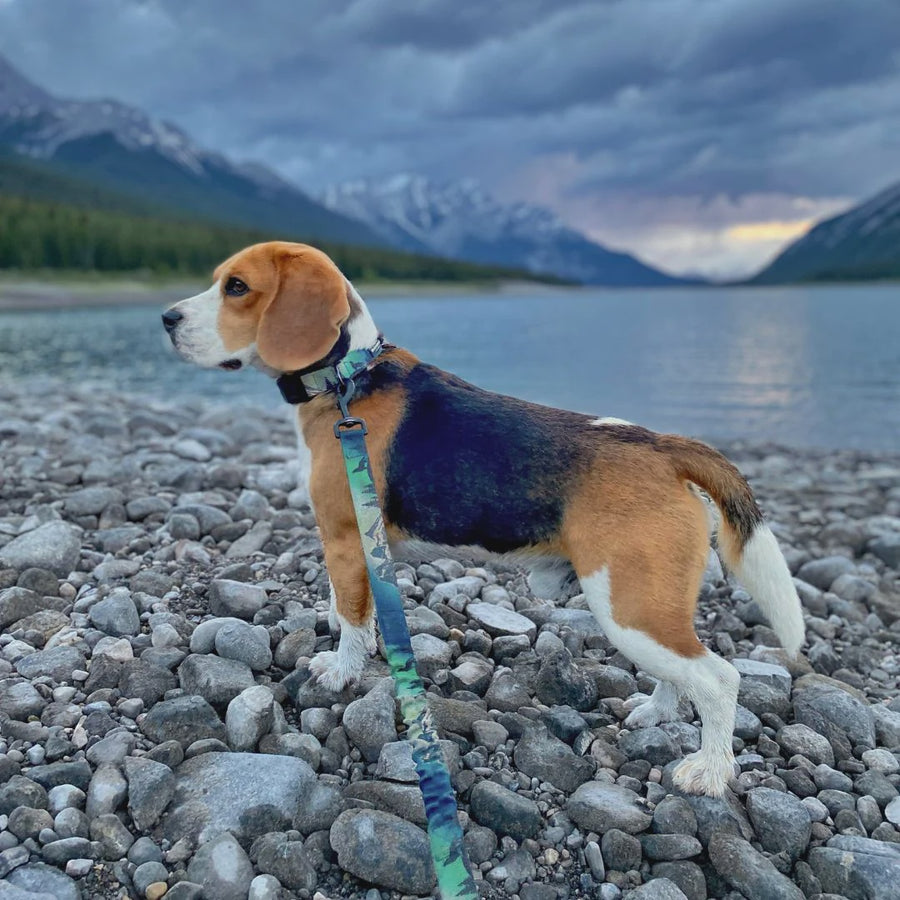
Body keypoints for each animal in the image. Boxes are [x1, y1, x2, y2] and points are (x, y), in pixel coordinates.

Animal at [165, 239, 804, 796]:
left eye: (237, 286)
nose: (167, 318)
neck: (347, 378)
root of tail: (662, 445)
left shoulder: (347, 538)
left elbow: (351, 618)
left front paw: (340, 671)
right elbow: (349, 607)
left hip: (629, 608)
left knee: (720, 678)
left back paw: (710, 771)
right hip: (651, 608)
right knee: (683, 672)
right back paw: (656, 712)